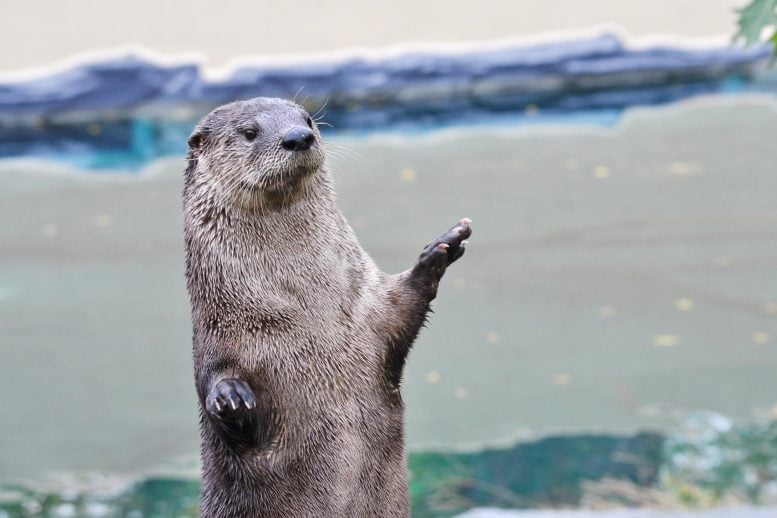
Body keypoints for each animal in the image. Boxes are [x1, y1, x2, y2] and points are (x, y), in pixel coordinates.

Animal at [183, 97, 471, 517]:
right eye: (250, 132)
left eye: (307, 120)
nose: (298, 137)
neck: (313, 323)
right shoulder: (218, 335)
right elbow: (217, 390)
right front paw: (230, 397)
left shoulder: (371, 306)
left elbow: (406, 303)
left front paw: (442, 247)